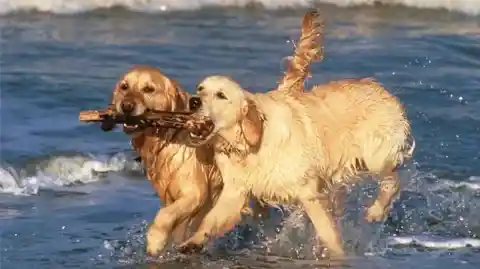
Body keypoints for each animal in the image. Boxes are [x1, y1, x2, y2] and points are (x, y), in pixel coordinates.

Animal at [178, 75, 414, 255]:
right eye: (200, 88)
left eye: (221, 95)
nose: (193, 101)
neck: (249, 143)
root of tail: (382, 89)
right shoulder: (235, 191)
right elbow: (210, 221)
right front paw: (192, 242)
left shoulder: (308, 193)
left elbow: (327, 233)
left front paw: (337, 254)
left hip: (376, 158)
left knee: (393, 180)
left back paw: (376, 210)